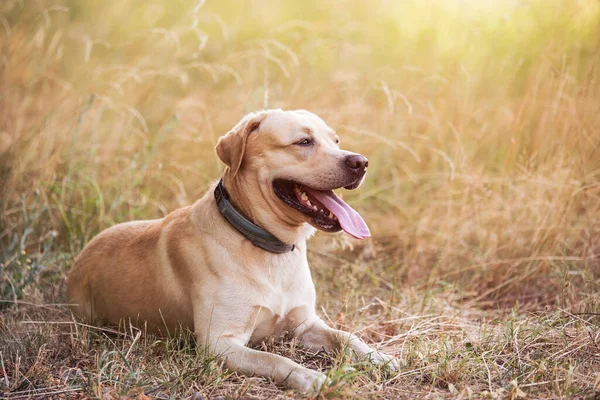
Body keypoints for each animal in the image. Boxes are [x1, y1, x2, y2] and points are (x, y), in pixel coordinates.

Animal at [67, 109, 398, 394]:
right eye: (303, 142)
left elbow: (345, 336)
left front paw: (378, 356)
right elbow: (274, 359)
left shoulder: (304, 324)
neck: (267, 244)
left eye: (336, 141)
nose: (361, 162)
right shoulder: (219, 343)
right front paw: (310, 376)